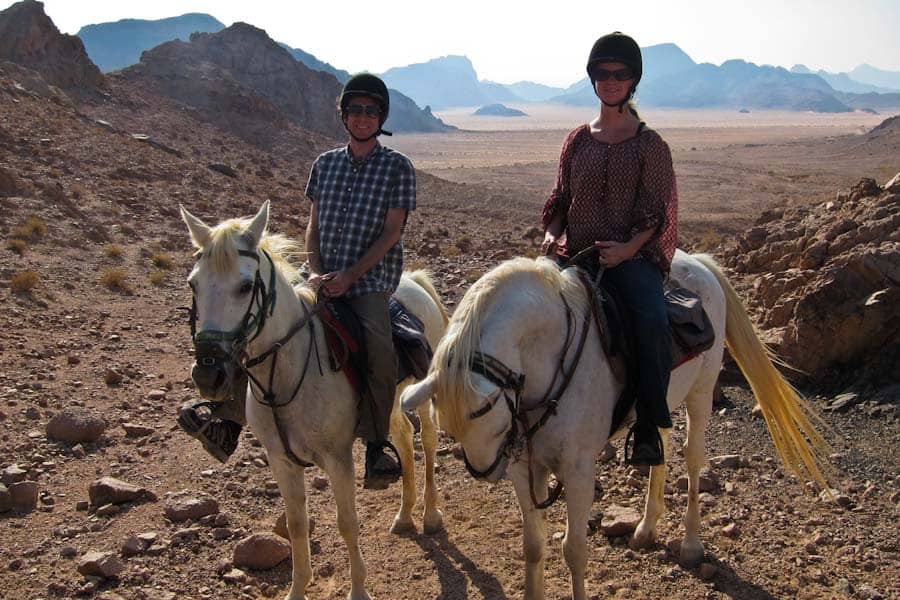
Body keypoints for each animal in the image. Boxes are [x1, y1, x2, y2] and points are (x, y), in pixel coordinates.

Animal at [183, 203, 450, 600]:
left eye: (245, 286)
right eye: (193, 284)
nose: (209, 373)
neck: (287, 374)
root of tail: (416, 282)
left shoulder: (338, 460)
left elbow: (347, 523)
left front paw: (359, 591)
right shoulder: (281, 461)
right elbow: (296, 525)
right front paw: (297, 590)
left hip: (421, 393)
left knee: (428, 440)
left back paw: (430, 515)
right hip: (391, 400)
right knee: (402, 438)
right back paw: (404, 515)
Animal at [404, 251, 832, 596]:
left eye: (486, 410)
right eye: (449, 424)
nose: (486, 471)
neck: (549, 355)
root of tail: (699, 262)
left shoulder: (577, 471)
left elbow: (574, 550)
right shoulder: (525, 466)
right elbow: (533, 545)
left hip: (701, 392)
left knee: (693, 459)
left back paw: (691, 543)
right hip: (659, 400)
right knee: (661, 444)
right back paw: (645, 527)